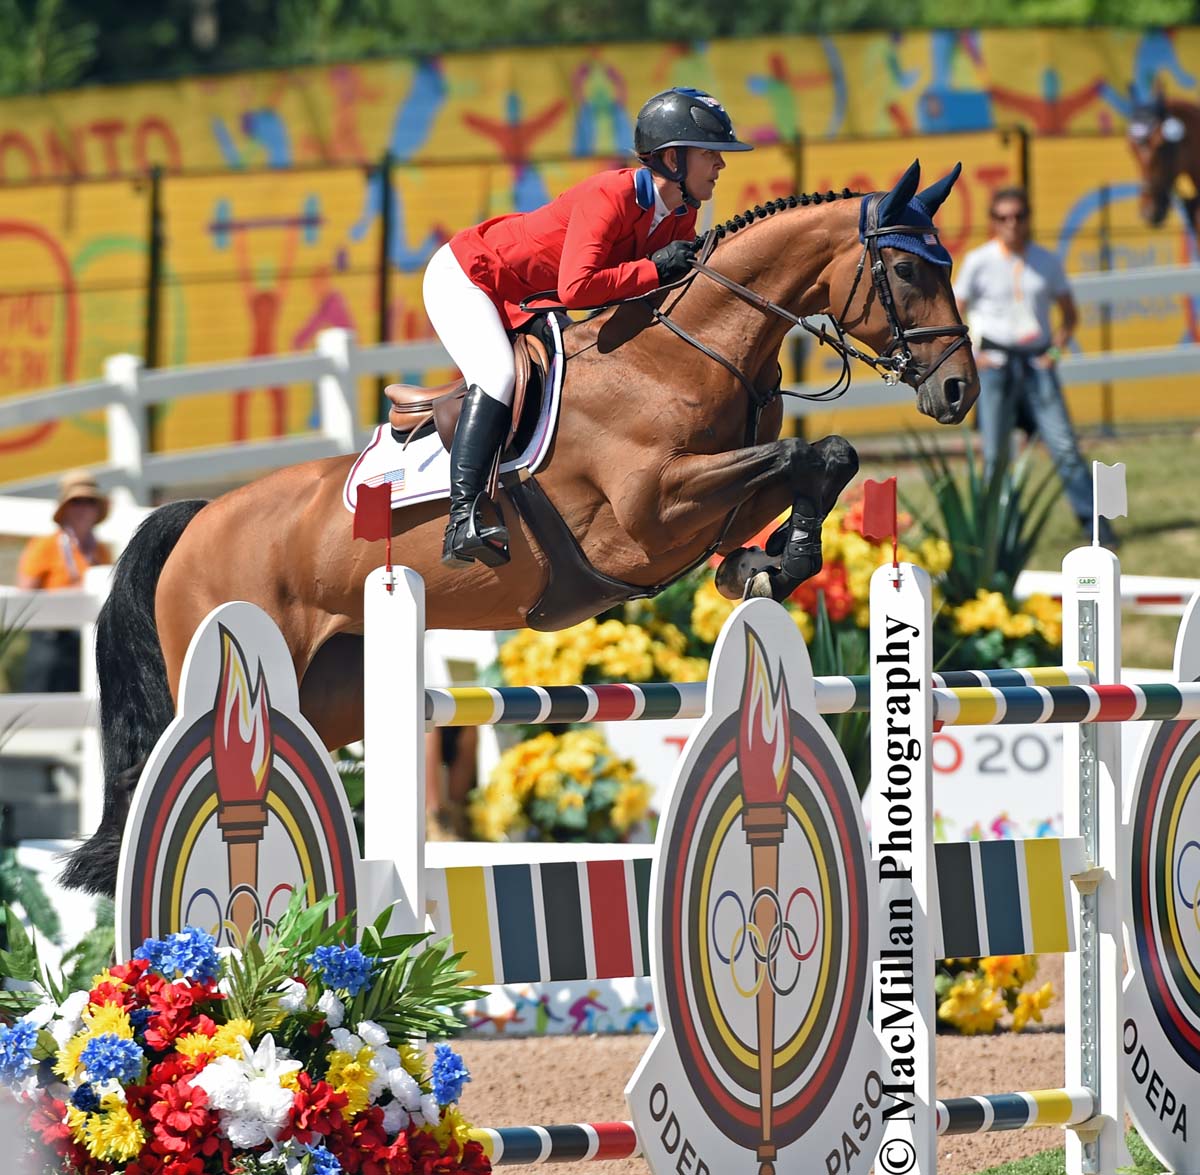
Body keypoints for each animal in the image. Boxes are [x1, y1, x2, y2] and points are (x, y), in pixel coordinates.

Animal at [65, 156, 979, 892]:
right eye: (904, 265)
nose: (959, 390)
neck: (683, 351)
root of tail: (198, 520)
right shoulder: (649, 513)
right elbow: (805, 452)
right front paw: (780, 558)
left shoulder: (704, 504)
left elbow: (820, 458)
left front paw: (767, 564)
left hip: (332, 695)